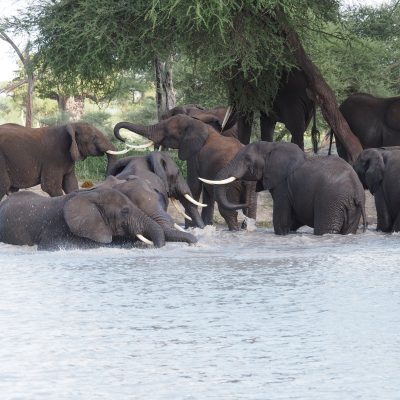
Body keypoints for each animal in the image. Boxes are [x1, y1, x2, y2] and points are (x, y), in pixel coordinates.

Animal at [112, 114, 258, 230]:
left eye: (166, 130)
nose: (124, 139)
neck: (196, 123)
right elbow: (206, 193)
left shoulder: (193, 154)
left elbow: (194, 185)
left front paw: (190, 228)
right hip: (251, 182)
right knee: (251, 208)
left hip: (231, 184)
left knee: (228, 210)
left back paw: (235, 231)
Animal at [205, 141, 368, 234]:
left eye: (247, 160)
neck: (272, 145)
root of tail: (356, 192)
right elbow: (293, 220)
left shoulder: (283, 186)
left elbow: (282, 221)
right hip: (351, 208)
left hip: (331, 201)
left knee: (325, 230)